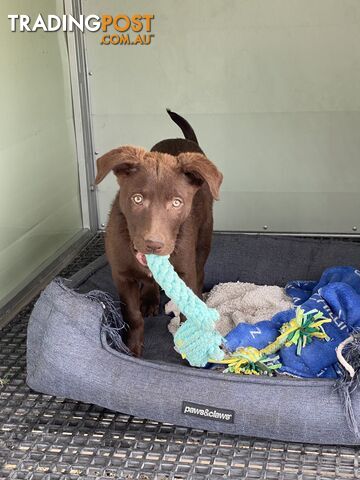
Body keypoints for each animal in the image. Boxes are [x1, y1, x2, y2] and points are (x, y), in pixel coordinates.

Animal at [95, 109, 222, 356]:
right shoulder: (122, 276)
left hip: (204, 239)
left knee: (200, 271)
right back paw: (150, 299)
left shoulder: (185, 272)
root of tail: (184, 140)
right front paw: (132, 349)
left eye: (176, 203)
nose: (154, 245)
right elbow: (132, 315)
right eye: (137, 199)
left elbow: (187, 312)